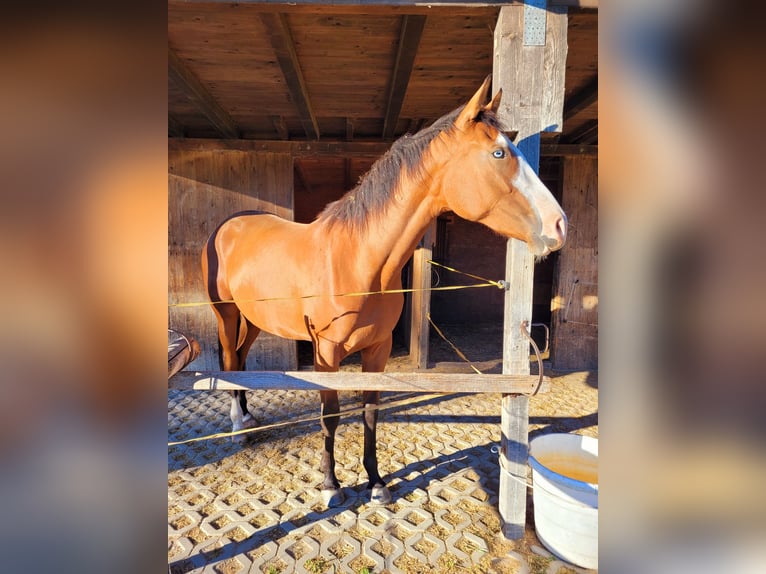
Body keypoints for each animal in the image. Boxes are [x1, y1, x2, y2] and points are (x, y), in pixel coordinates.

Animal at [201, 77, 568, 508]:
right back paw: (237, 427)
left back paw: (247, 416)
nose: (559, 225)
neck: (357, 260)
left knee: (241, 360)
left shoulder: (377, 350)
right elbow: (330, 416)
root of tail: (230, 224)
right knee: (229, 358)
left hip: (254, 318)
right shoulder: (327, 355)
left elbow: (371, 411)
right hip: (226, 315)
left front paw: (376, 482)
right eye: (498, 152)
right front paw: (331, 485)